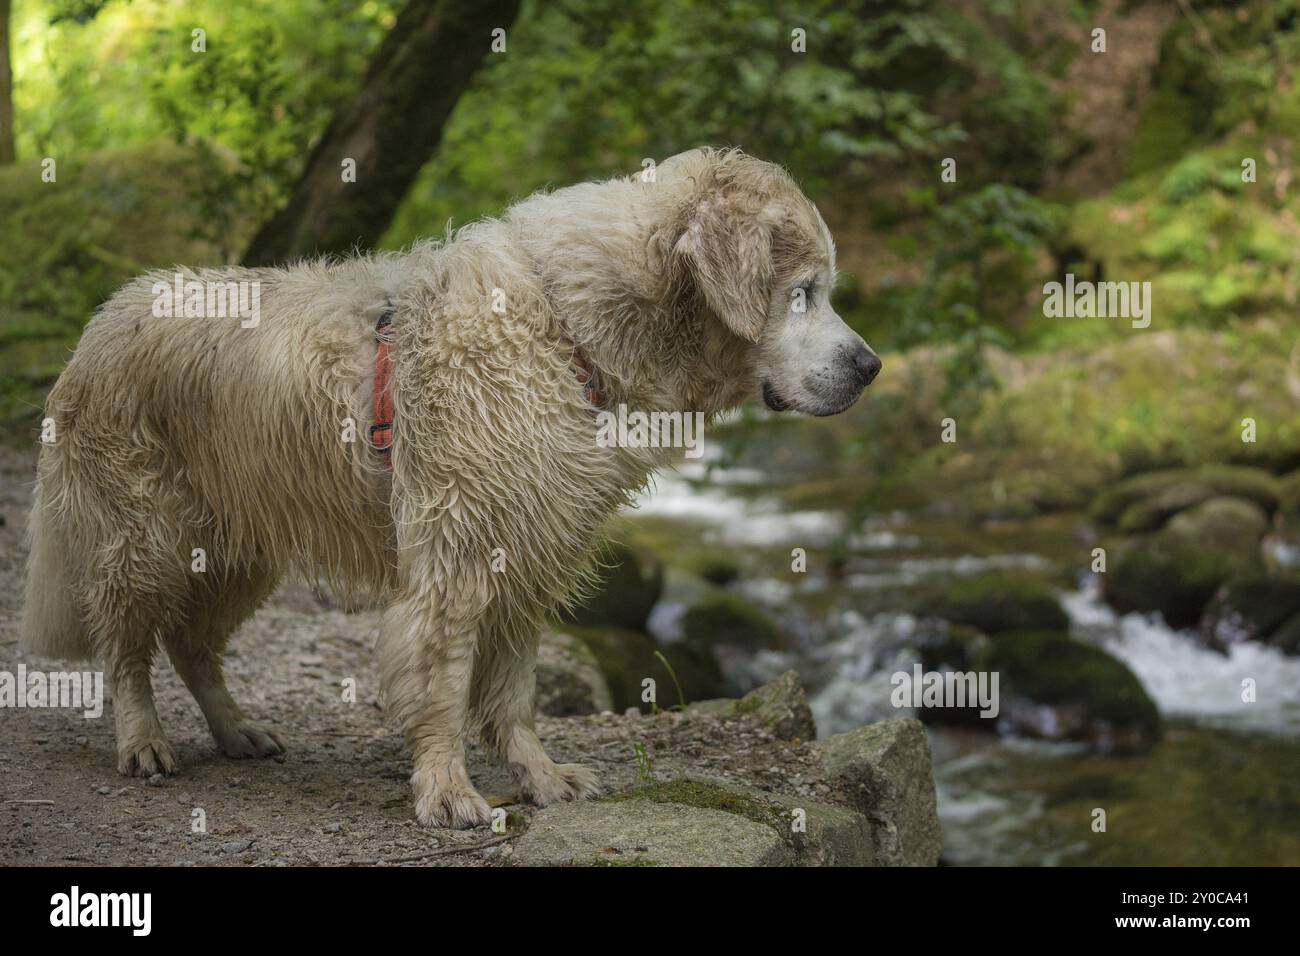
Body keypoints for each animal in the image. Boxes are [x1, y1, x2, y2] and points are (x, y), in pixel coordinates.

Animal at [20, 145, 878, 827]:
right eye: (803, 291)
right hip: (146, 534)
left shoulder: (530, 552)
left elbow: (512, 690)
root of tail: (105, 312)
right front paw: (447, 790)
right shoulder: (458, 557)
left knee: (192, 641)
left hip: (243, 543)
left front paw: (538, 776)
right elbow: (442, 682)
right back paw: (143, 739)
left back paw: (237, 730)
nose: (870, 366)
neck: (565, 330)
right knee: (126, 640)